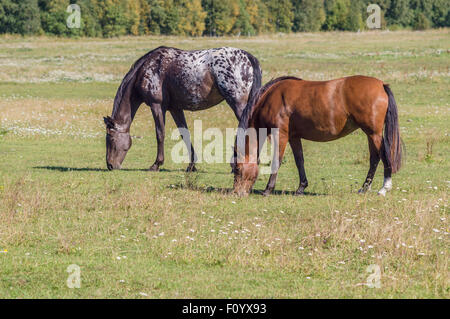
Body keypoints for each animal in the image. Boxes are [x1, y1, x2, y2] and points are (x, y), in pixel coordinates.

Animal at [103, 45, 262, 172]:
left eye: (110, 138)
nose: (110, 165)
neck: (147, 69)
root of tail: (248, 57)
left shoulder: (157, 106)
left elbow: (160, 133)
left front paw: (156, 164)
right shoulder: (175, 109)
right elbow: (184, 133)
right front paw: (191, 165)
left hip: (238, 103)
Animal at [234, 77, 402, 198]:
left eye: (237, 168)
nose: (237, 193)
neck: (272, 98)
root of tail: (381, 85)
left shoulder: (280, 134)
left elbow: (276, 161)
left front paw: (268, 190)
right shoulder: (294, 137)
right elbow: (299, 161)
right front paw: (301, 188)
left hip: (374, 134)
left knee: (384, 155)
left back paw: (384, 188)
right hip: (371, 134)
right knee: (374, 158)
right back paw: (364, 188)